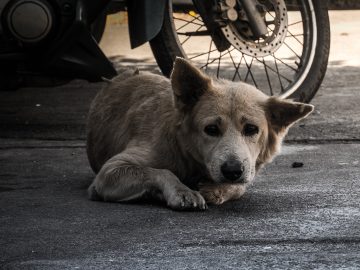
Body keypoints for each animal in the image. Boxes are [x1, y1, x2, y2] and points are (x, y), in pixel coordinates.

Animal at [86, 58, 314, 210]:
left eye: (251, 129)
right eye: (211, 129)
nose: (233, 170)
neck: (189, 158)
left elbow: (240, 187)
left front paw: (217, 189)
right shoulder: (109, 172)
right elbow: (161, 172)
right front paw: (183, 191)